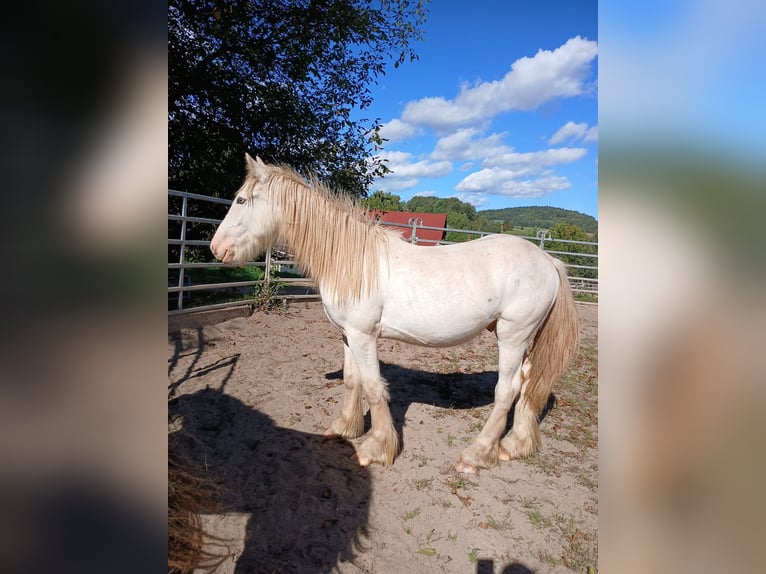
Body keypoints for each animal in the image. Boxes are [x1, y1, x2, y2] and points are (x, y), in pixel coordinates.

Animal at [210, 155, 584, 474]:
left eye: (241, 201)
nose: (216, 248)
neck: (354, 260)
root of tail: (547, 260)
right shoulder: (348, 335)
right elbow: (352, 381)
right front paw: (344, 428)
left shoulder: (364, 336)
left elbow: (374, 387)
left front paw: (376, 449)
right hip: (525, 338)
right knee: (529, 382)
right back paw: (515, 445)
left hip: (512, 335)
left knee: (506, 390)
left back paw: (476, 455)